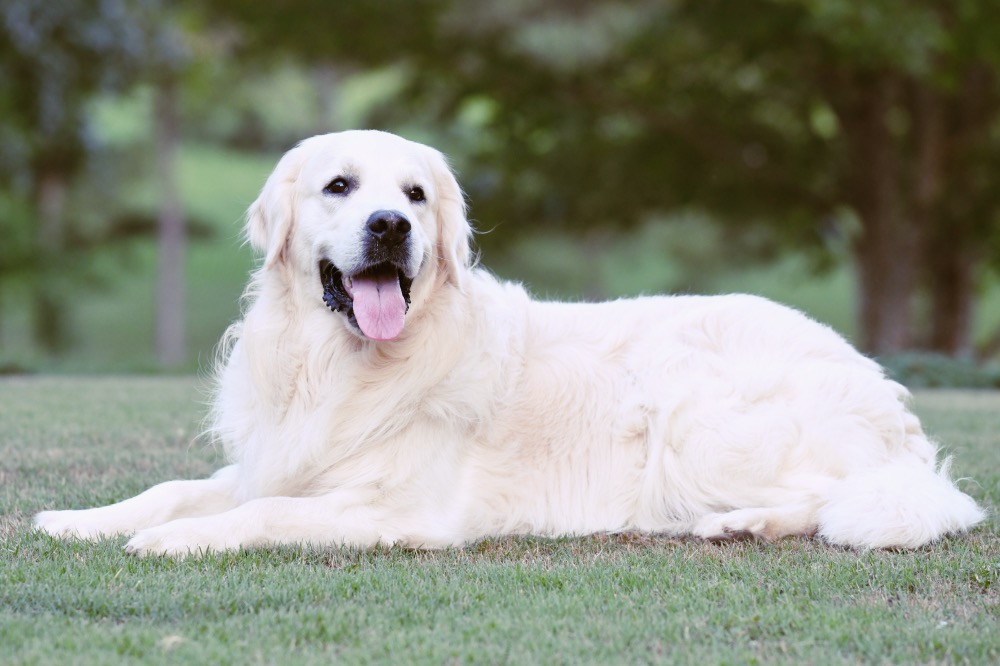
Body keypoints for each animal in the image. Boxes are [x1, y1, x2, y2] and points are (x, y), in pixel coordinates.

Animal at [35, 127, 988, 552]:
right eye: (340, 186)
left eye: (415, 195)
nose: (390, 227)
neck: (338, 367)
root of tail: (895, 407)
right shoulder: (281, 458)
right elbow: (175, 487)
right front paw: (82, 518)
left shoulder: (397, 511)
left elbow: (263, 513)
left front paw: (179, 541)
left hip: (694, 406)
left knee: (836, 498)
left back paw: (742, 521)